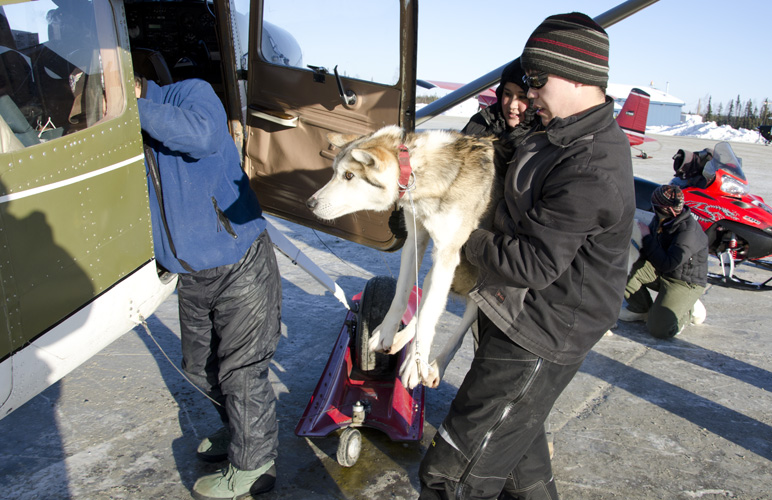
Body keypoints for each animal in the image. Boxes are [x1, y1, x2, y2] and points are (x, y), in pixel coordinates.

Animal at [306, 125, 494, 390]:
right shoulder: (415, 238)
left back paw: (432, 364)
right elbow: (402, 296)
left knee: (456, 322)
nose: (309, 203)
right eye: (334, 172)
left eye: (349, 176)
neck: (417, 171)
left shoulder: (447, 252)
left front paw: (416, 365)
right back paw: (400, 340)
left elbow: (429, 314)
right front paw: (386, 333)